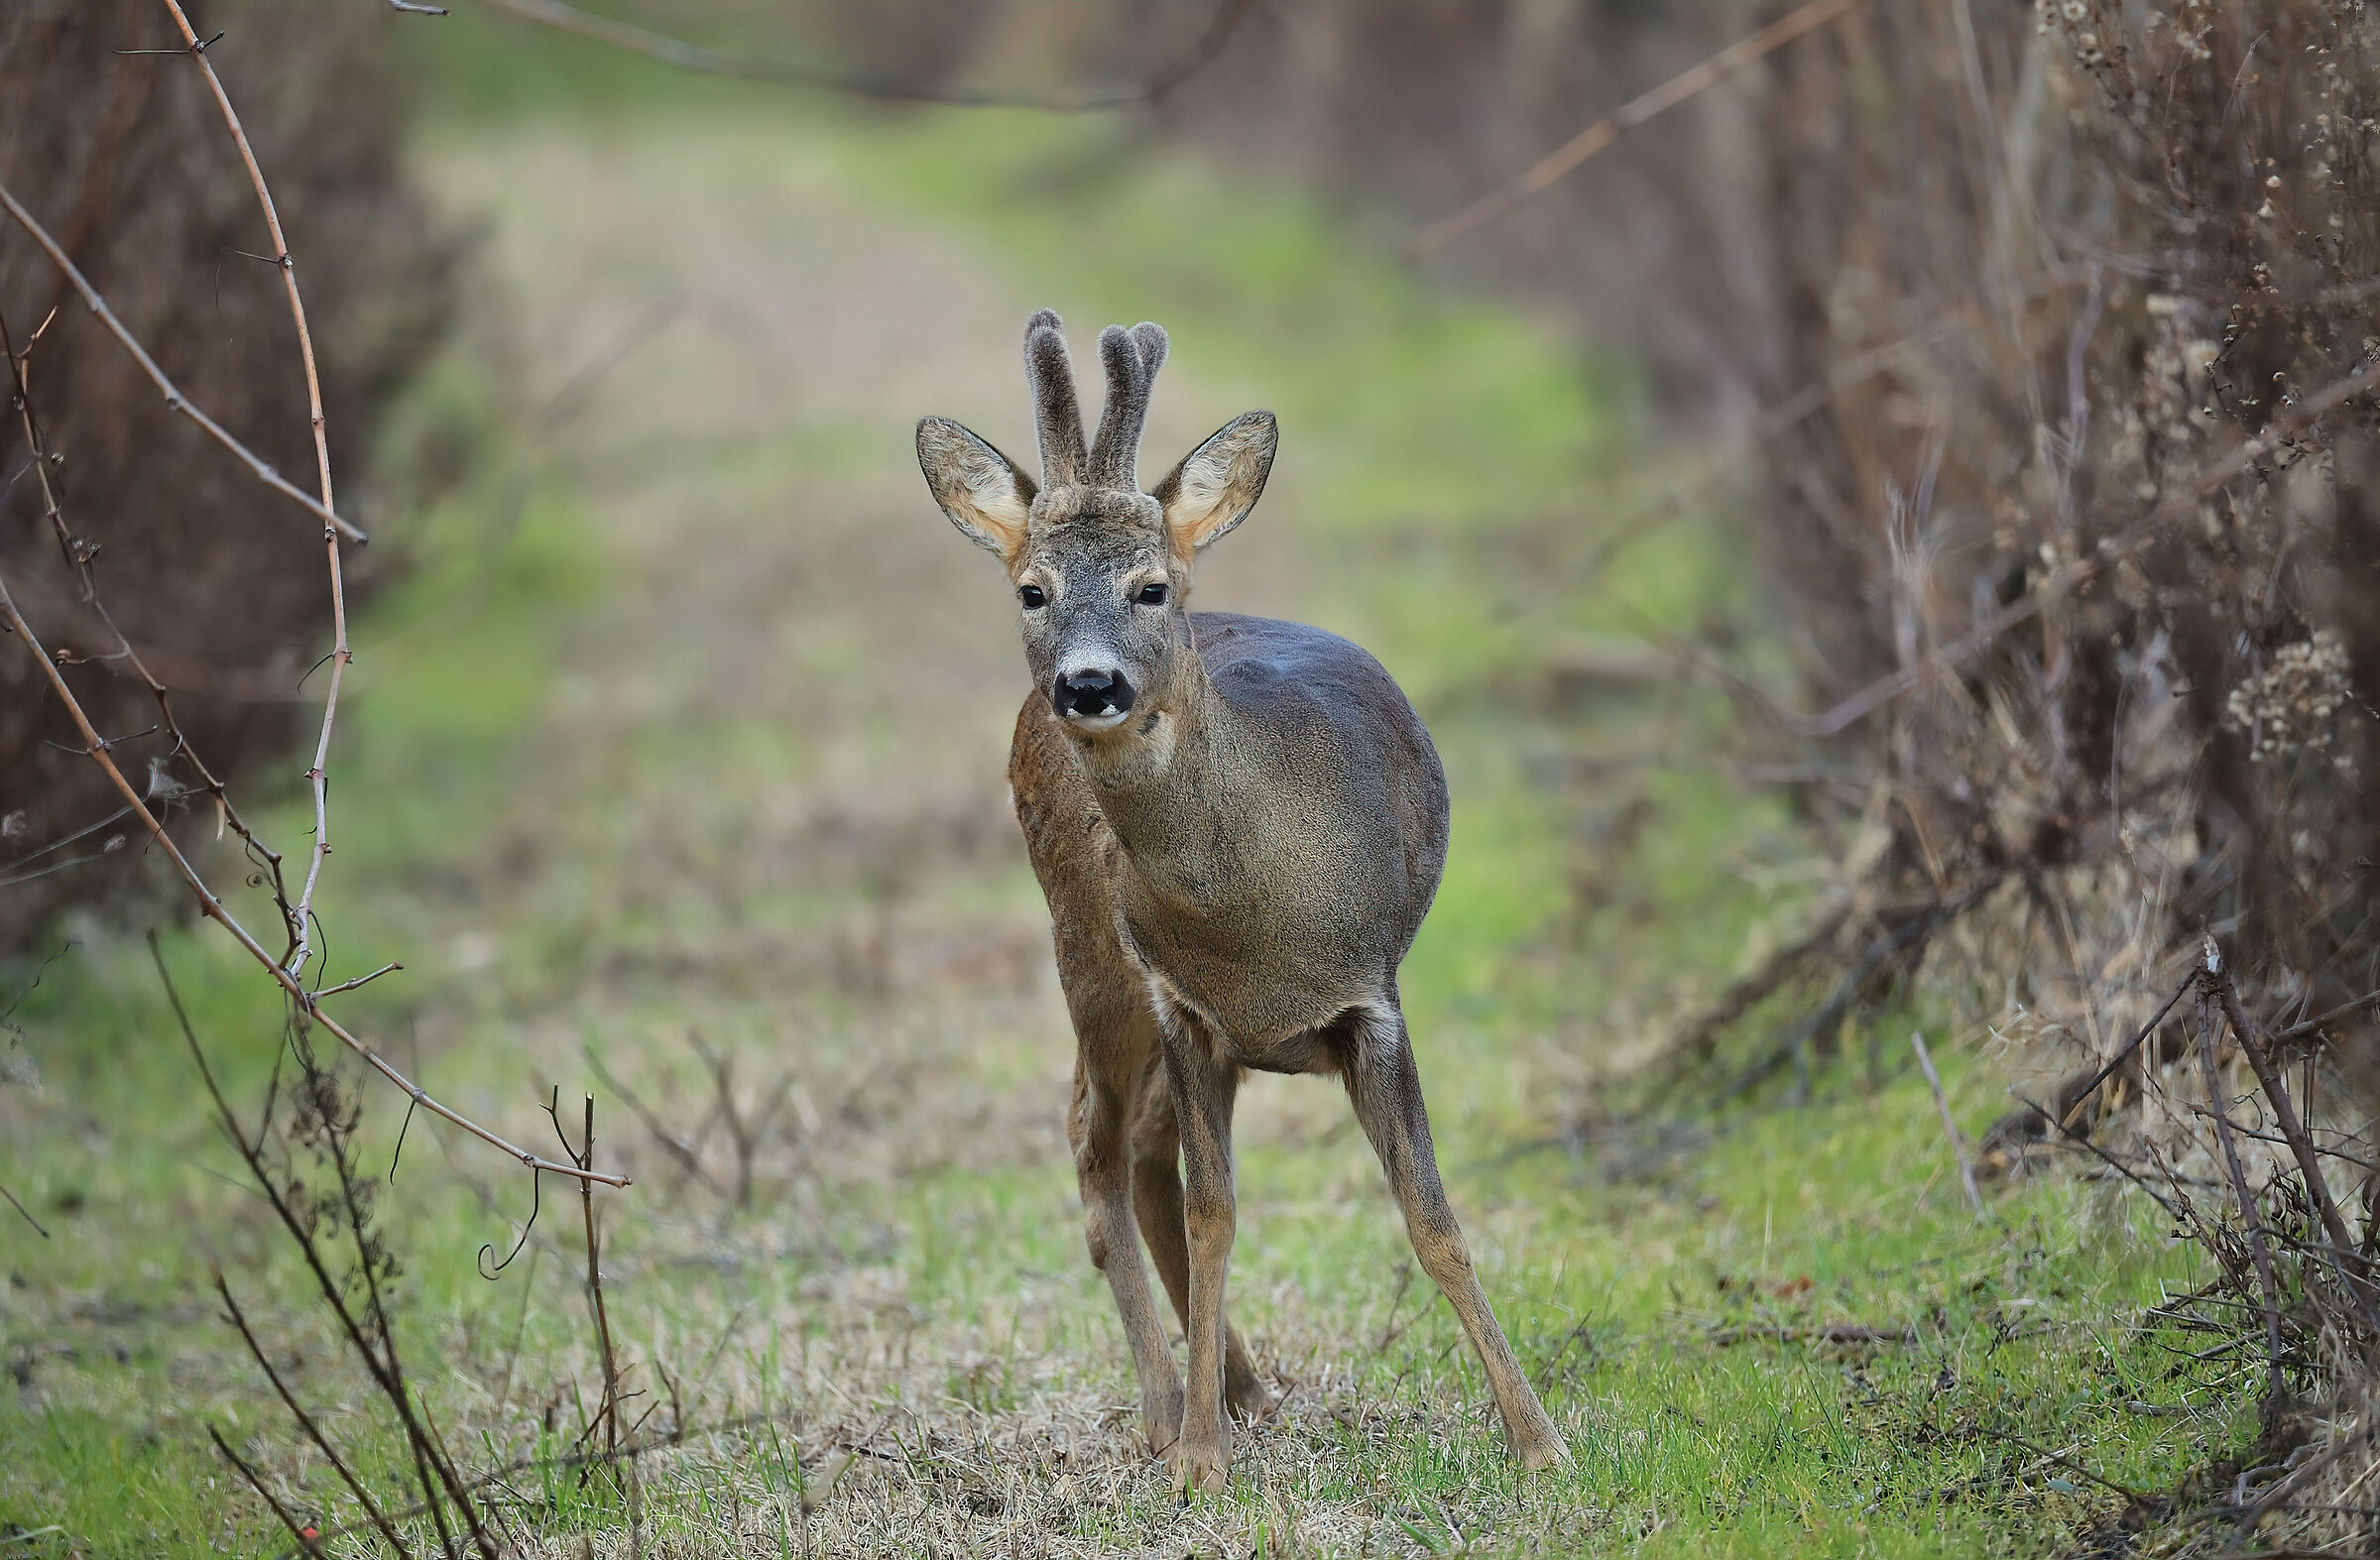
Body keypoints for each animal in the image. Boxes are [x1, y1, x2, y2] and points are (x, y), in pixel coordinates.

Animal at [915, 311, 1570, 1493]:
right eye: (1032, 589)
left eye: (1150, 586)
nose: (1089, 684)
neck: (1254, 914)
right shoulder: (1185, 1005)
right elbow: (1217, 1210)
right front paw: (1200, 1463)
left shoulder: (1368, 999)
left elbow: (1432, 1218)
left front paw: (1538, 1440)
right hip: (1088, 945)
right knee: (1097, 1142)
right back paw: (1168, 1406)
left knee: (1138, 1151)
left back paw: (1240, 1386)